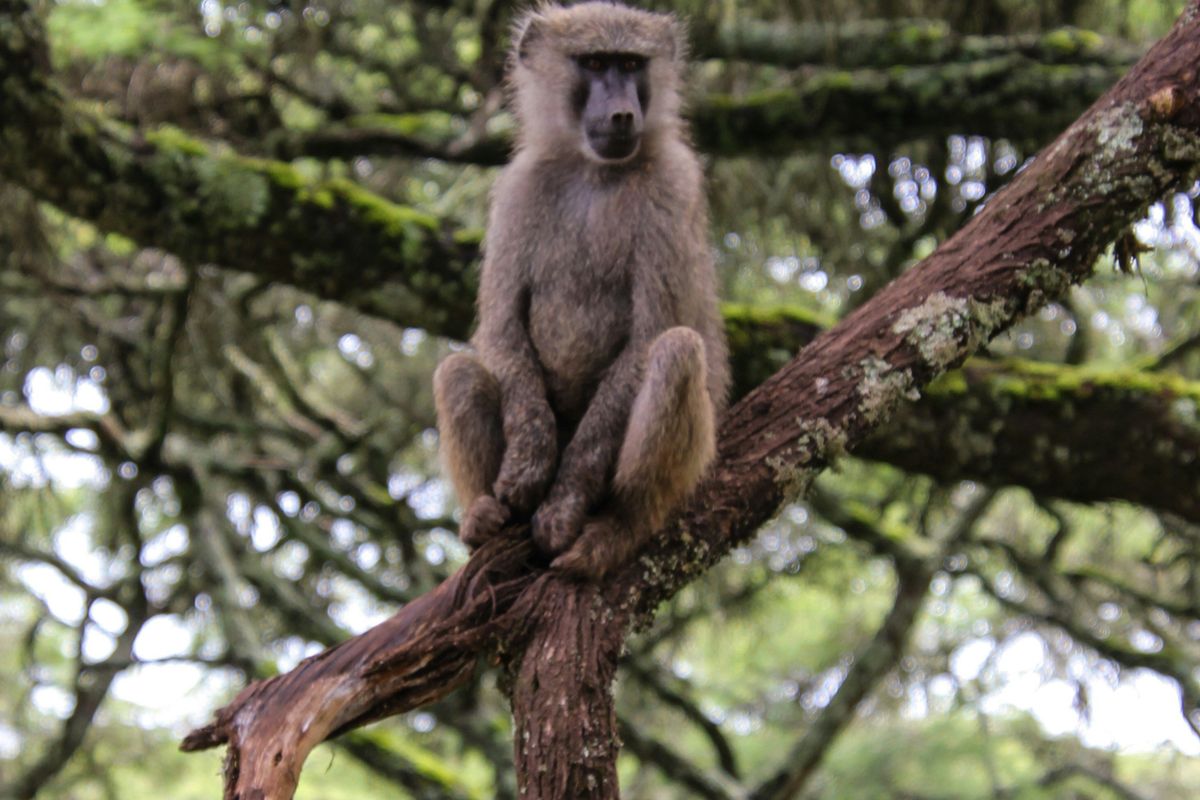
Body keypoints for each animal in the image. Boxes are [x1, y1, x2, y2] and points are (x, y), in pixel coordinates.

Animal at [433, 0, 728, 580]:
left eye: (631, 64)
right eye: (593, 62)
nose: (622, 114)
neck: (595, 171)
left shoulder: (675, 184)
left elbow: (648, 337)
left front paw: (564, 503)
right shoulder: (517, 189)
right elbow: (501, 328)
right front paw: (527, 465)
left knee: (677, 352)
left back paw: (620, 528)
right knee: (458, 371)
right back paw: (483, 516)